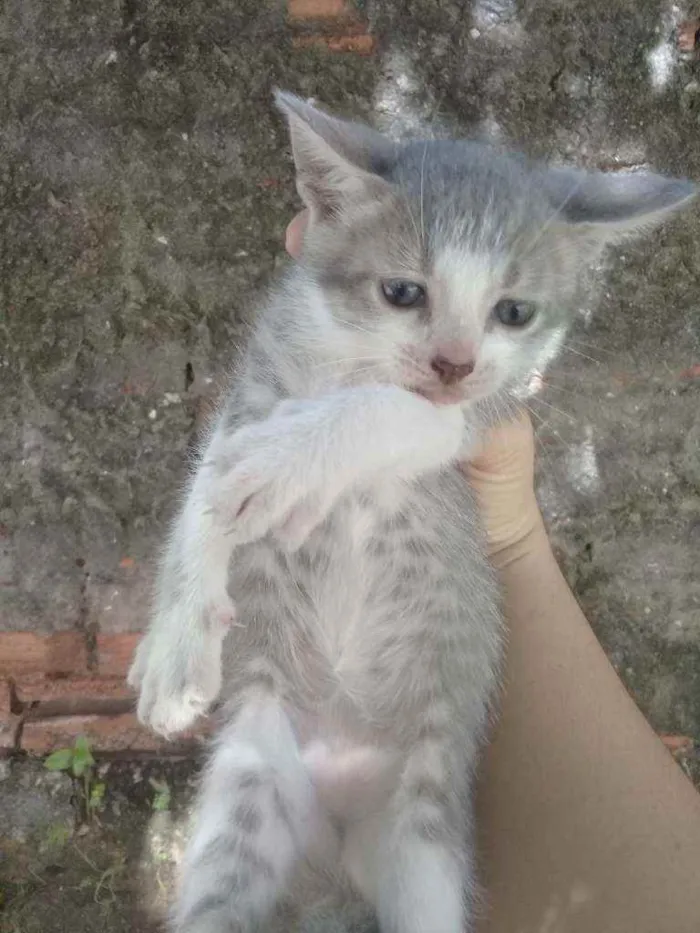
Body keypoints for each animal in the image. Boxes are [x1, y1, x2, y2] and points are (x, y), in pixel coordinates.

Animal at [127, 89, 696, 932]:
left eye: (514, 311)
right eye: (402, 293)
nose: (453, 362)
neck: (349, 360)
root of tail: (332, 837)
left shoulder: (485, 415)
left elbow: (400, 412)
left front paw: (290, 456)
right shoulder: (256, 382)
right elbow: (204, 483)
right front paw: (173, 644)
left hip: (426, 834)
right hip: (247, 796)